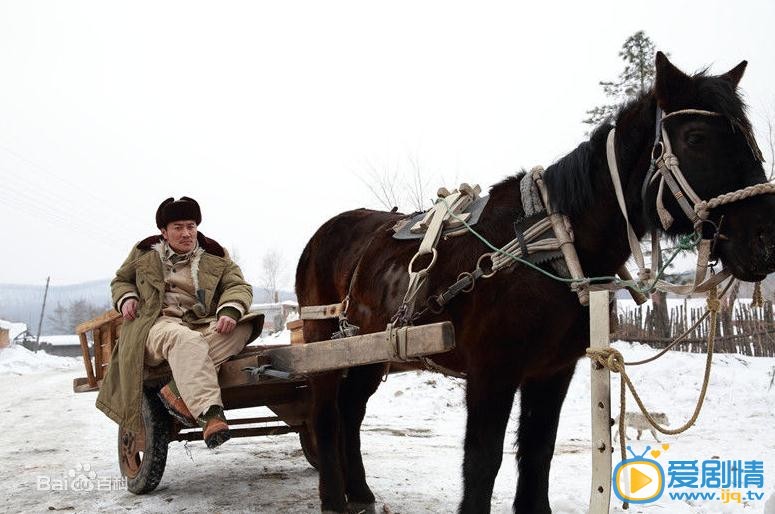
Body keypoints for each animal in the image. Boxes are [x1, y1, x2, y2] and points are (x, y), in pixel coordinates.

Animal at [294, 53, 772, 512]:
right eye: (696, 138)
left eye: (750, 139)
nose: (764, 240)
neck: (554, 245)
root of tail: (322, 234)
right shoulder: (492, 370)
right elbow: (483, 460)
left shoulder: (553, 369)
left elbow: (538, 451)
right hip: (321, 340)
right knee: (325, 414)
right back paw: (334, 498)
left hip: (369, 350)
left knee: (351, 410)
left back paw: (360, 492)